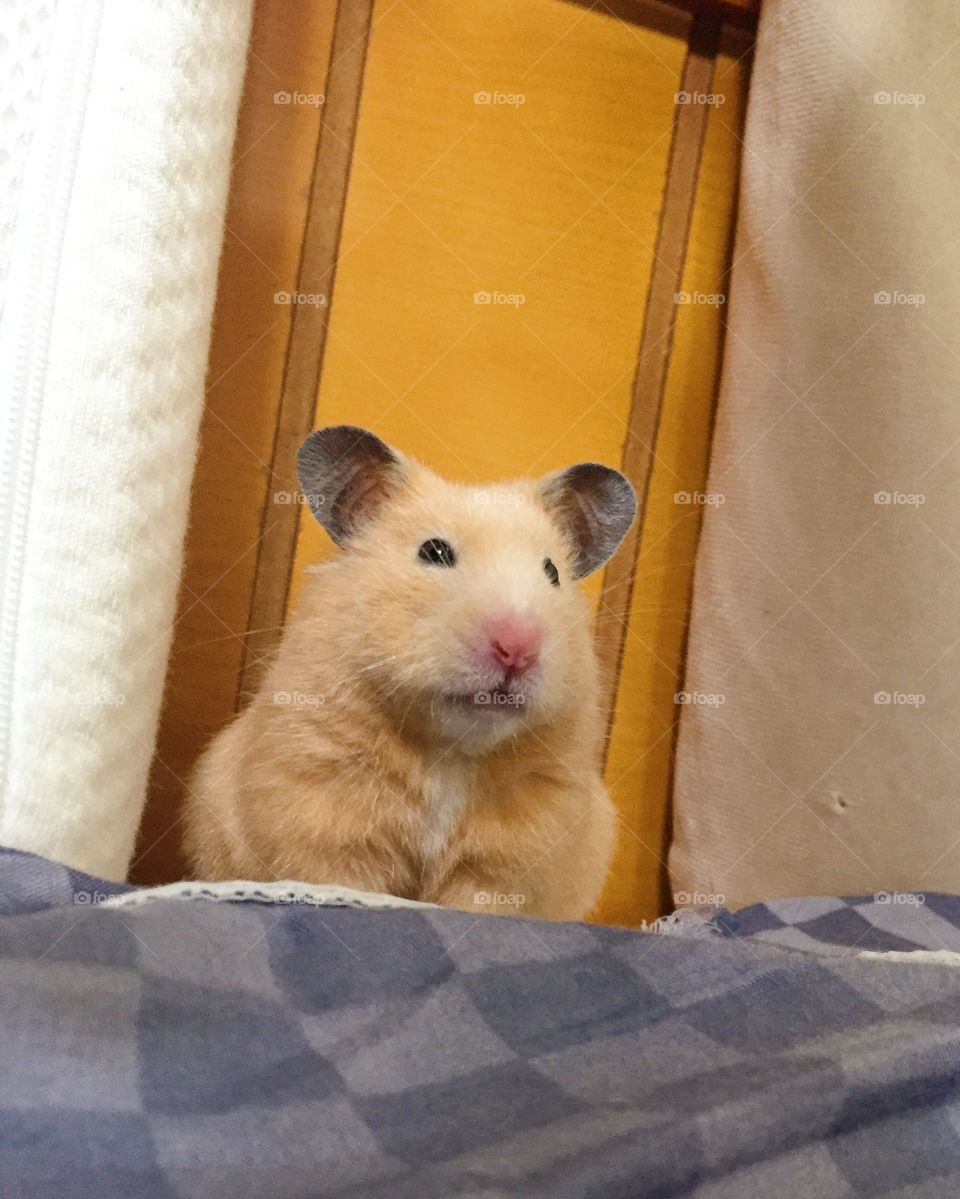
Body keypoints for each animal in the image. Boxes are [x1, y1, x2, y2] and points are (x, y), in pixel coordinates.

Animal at [183, 425, 636, 921]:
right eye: (434, 552)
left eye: (552, 572)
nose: (517, 648)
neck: (450, 749)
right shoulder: (322, 799)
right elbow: (344, 882)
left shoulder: (521, 839)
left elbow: (480, 902)